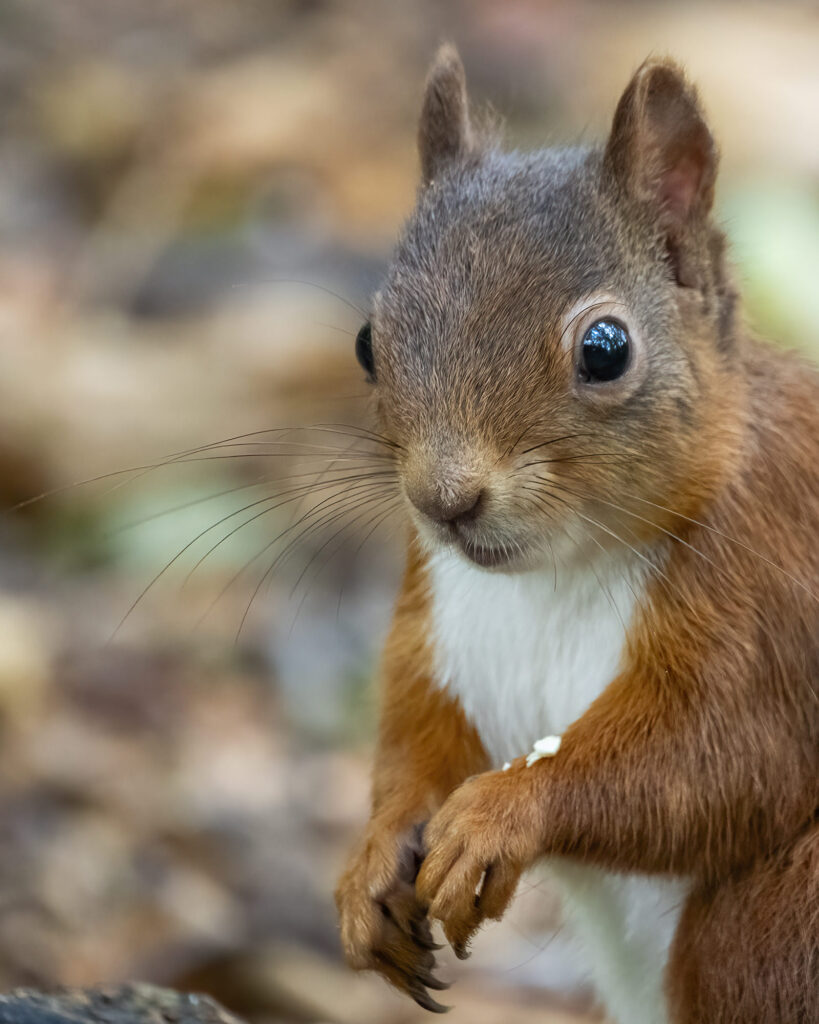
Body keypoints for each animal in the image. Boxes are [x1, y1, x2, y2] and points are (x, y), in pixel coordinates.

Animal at [334, 45, 819, 1024]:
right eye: (368, 341)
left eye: (605, 348)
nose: (444, 500)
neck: (552, 576)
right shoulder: (439, 626)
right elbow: (417, 737)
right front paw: (370, 860)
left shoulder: (772, 590)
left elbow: (729, 758)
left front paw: (501, 813)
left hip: (773, 925)